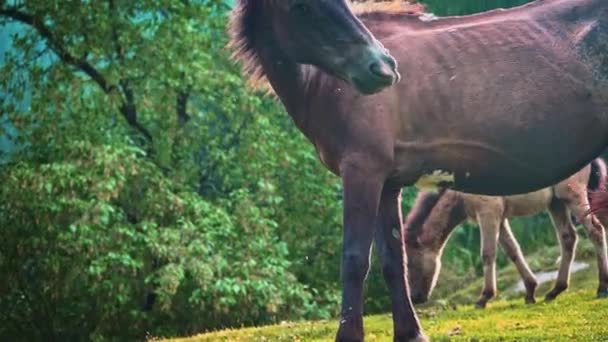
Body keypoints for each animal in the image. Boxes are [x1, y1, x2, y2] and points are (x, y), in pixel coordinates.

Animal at [404, 159, 608, 308]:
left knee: (596, 231)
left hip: (573, 196)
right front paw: (530, 291)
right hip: (556, 203)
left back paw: (602, 287)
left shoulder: (488, 213)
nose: (415, 298)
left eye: (410, 264)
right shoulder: (499, 218)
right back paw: (555, 290)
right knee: (568, 238)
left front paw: (484, 298)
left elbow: (487, 253)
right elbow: (513, 251)